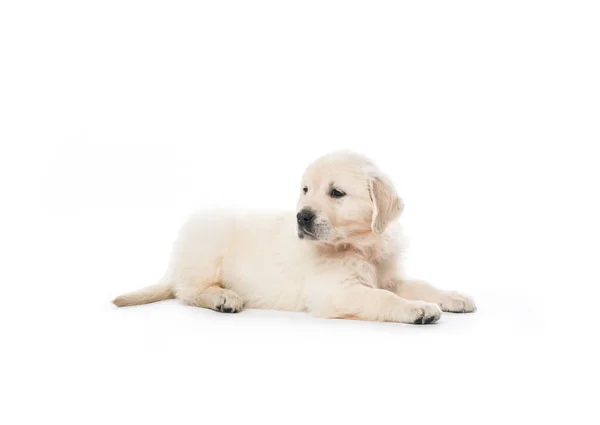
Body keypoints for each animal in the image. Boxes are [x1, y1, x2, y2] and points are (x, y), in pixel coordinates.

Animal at [115, 151, 476, 322]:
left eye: (336, 193)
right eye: (305, 190)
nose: (301, 217)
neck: (361, 246)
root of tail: (174, 263)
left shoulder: (389, 273)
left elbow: (419, 284)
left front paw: (452, 296)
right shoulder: (335, 291)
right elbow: (382, 298)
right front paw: (419, 309)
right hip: (206, 242)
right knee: (187, 291)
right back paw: (223, 297)